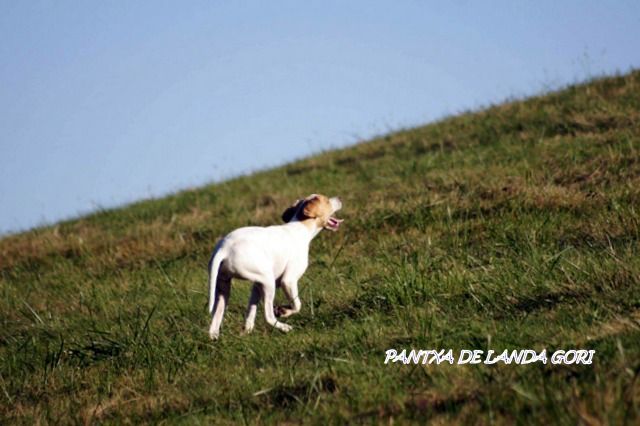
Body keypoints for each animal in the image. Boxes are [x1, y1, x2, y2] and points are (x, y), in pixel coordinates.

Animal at [208, 194, 342, 340]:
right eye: (327, 201)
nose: (339, 198)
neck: (300, 227)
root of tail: (224, 249)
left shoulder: (257, 286)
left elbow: (251, 312)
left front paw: (247, 331)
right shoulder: (288, 281)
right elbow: (297, 305)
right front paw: (283, 311)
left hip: (224, 288)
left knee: (216, 323)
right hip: (268, 282)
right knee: (269, 317)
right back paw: (285, 327)